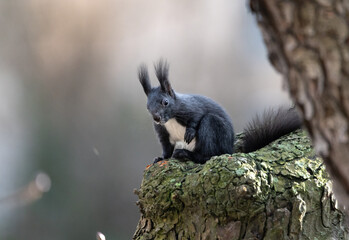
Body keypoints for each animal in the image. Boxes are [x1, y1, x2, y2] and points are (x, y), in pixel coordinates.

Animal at [137, 59, 300, 164]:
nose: (156, 118)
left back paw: (186, 154)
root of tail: (229, 149)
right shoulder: (163, 133)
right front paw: (161, 158)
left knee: (209, 154)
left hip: (212, 126)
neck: (170, 119)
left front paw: (189, 131)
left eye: (165, 102)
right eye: (147, 107)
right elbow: (166, 147)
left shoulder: (191, 107)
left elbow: (196, 117)